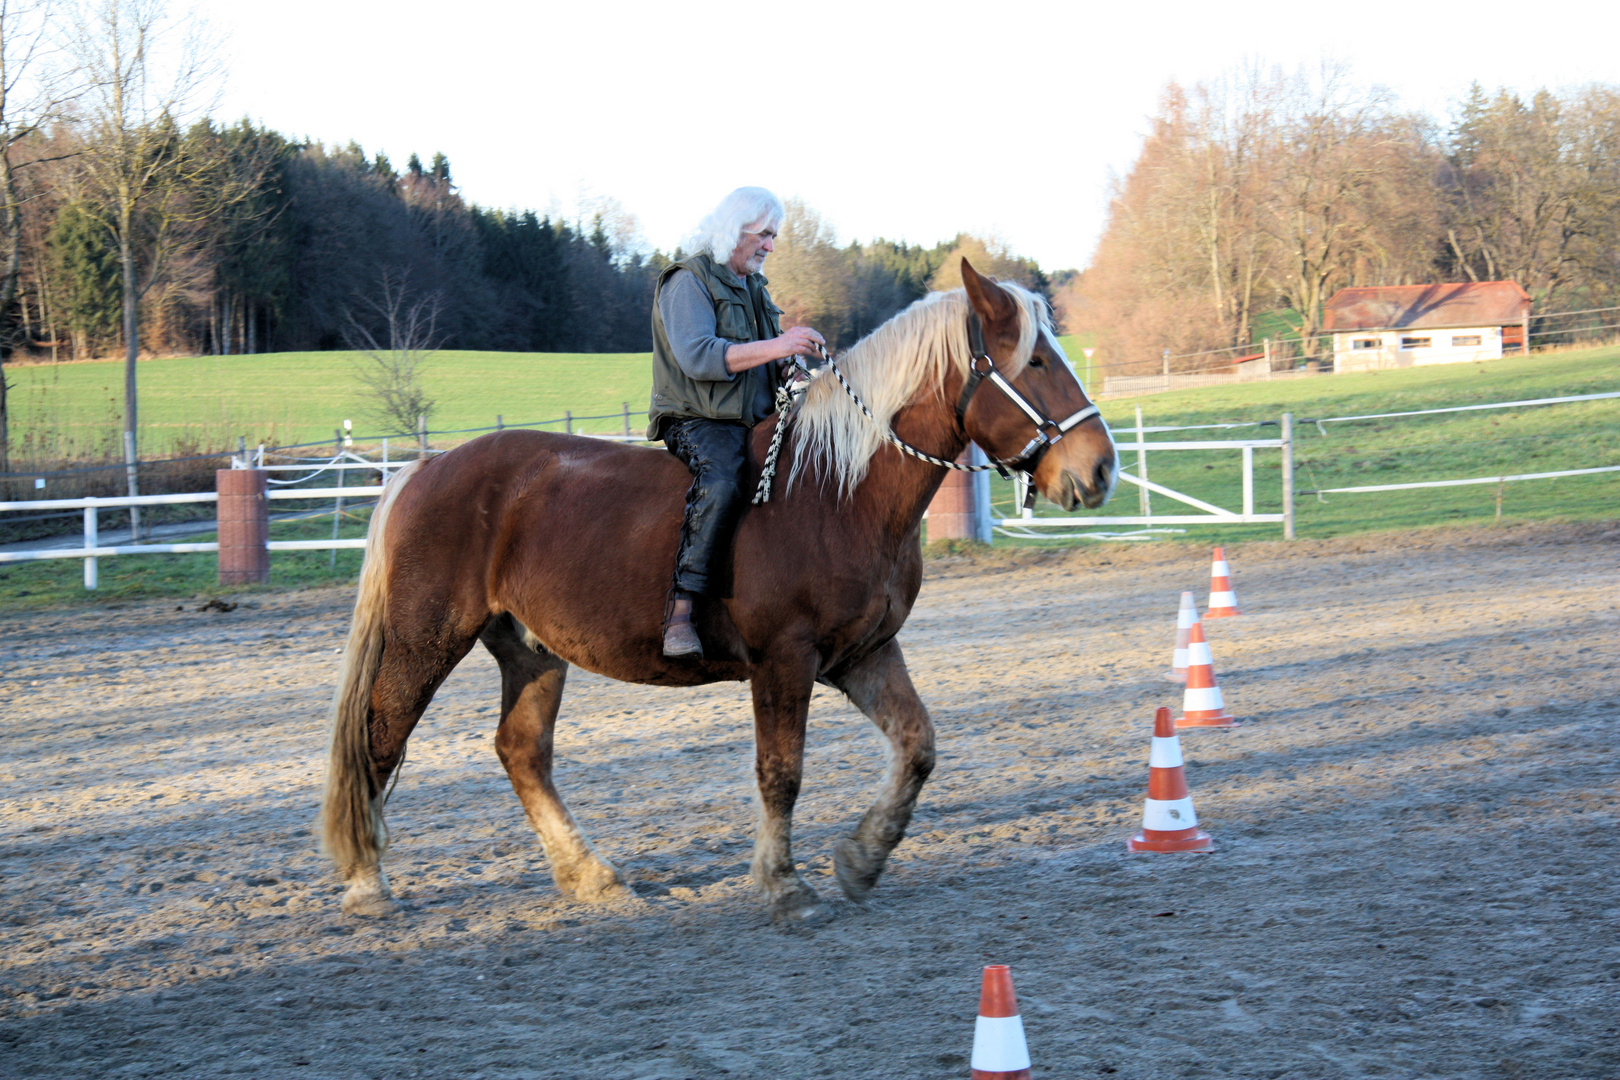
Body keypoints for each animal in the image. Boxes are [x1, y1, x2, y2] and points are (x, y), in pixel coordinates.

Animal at [322, 259, 1121, 919]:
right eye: (1037, 360)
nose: (1101, 468)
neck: (836, 490)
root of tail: (425, 469)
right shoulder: (785, 659)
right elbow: (781, 772)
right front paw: (783, 884)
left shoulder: (864, 654)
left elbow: (917, 746)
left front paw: (860, 859)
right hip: (424, 643)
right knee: (379, 740)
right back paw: (367, 884)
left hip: (531, 651)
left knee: (521, 752)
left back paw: (590, 877)